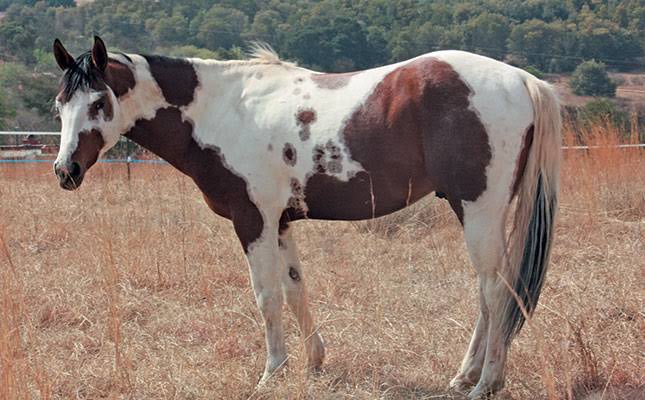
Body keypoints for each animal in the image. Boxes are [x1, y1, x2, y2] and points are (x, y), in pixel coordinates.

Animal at [51, 36, 560, 396]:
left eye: (98, 103)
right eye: (60, 104)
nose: (65, 171)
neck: (225, 110)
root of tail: (522, 79)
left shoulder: (252, 219)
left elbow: (267, 298)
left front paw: (271, 372)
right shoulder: (279, 222)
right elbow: (296, 292)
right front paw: (314, 362)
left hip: (479, 210)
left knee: (497, 290)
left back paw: (486, 382)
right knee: (489, 294)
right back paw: (464, 376)